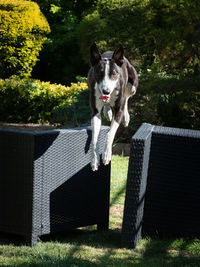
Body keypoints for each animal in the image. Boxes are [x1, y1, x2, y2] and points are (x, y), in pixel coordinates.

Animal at [86, 42, 138, 171]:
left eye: (114, 74)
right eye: (99, 73)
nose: (106, 91)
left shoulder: (118, 109)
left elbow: (110, 133)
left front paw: (106, 155)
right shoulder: (95, 112)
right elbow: (95, 138)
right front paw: (94, 160)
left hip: (133, 84)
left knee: (127, 96)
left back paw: (126, 117)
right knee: (107, 105)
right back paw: (108, 111)